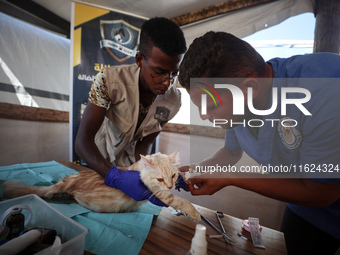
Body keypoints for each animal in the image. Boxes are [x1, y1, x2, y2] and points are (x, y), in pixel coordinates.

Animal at [0, 150, 202, 222]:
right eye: (160, 180)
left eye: (173, 176)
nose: (169, 185)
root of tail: (72, 178)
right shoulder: (156, 194)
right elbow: (181, 201)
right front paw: (194, 214)